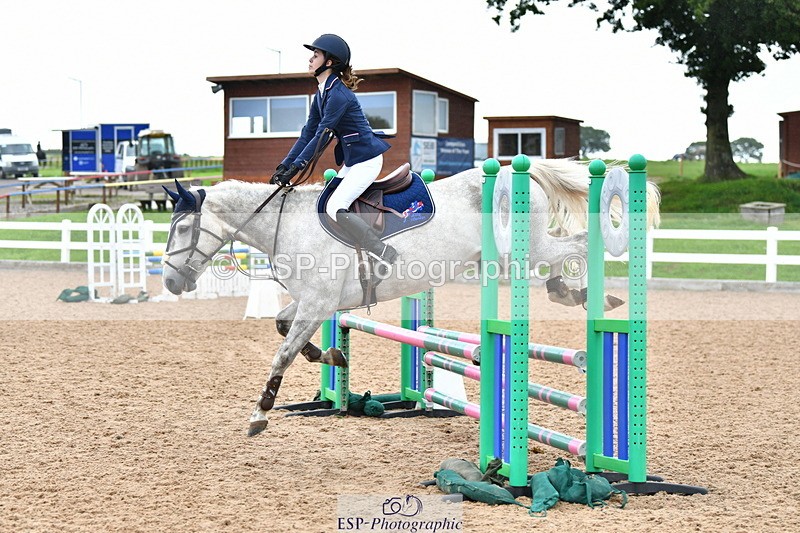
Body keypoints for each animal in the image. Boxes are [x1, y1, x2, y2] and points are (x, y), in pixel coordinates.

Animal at [161, 159, 661, 436]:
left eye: (182, 229)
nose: (169, 284)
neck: (290, 224)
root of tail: (517, 170)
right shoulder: (312, 304)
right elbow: (284, 327)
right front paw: (335, 357)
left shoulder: (318, 304)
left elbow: (281, 353)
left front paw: (259, 414)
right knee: (567, 251)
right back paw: (570, 291)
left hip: (529, 246)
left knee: (578, 245)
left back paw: (591, 296)